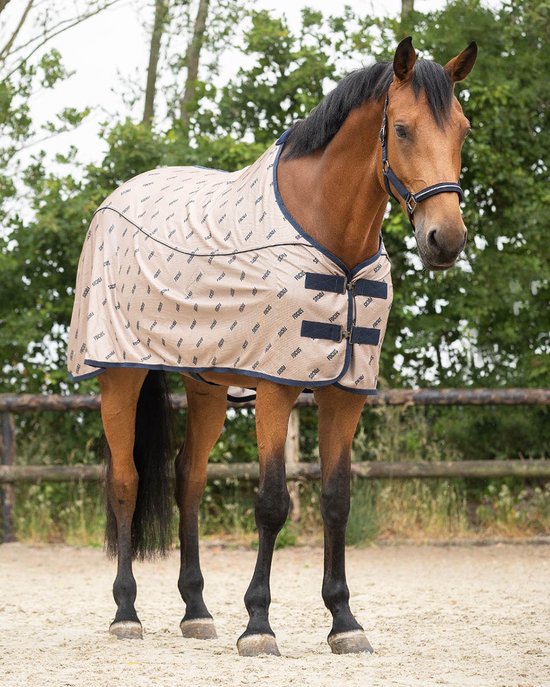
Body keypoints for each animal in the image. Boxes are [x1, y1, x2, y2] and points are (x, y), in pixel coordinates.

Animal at [67, 37, 477, 656]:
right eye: (402, 129)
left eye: (463, 130)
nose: (445, 239)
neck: (333, 241)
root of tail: (115, 199)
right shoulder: (275, 387)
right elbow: (272, 502)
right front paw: (258, 624)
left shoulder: (344, 392)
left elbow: (336, 499)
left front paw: (344, 621)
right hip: (121, 374)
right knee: (125, 481)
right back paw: (126, 613)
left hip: (206, 384)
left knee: (188, 479)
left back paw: (196, 611)